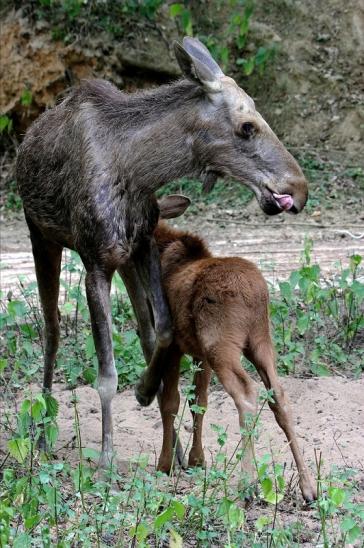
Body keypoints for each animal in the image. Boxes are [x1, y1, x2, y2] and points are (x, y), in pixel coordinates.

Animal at [16, 36, 308, 468]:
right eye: (247, 126)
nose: (298, 189)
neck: (139, 171)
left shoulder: (143, 247)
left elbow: (161, 332)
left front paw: (147, 393)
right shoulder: (95, 264)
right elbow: (106, 374)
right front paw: (106, 460)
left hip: (121, 261)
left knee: (139, 326)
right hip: (42, 237)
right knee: (51, 330)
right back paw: (40, 436)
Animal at [152, 217, 318, 500]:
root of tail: (255, 294)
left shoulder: (174, 344)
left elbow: (170, 402)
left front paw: (167, 464)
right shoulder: (199, 354)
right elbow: (199, 402)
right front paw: (197, 460)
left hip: (221, 345)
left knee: (247, 393)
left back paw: (248, 483)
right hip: (261, 341)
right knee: (279, 396)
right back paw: (308, 486)